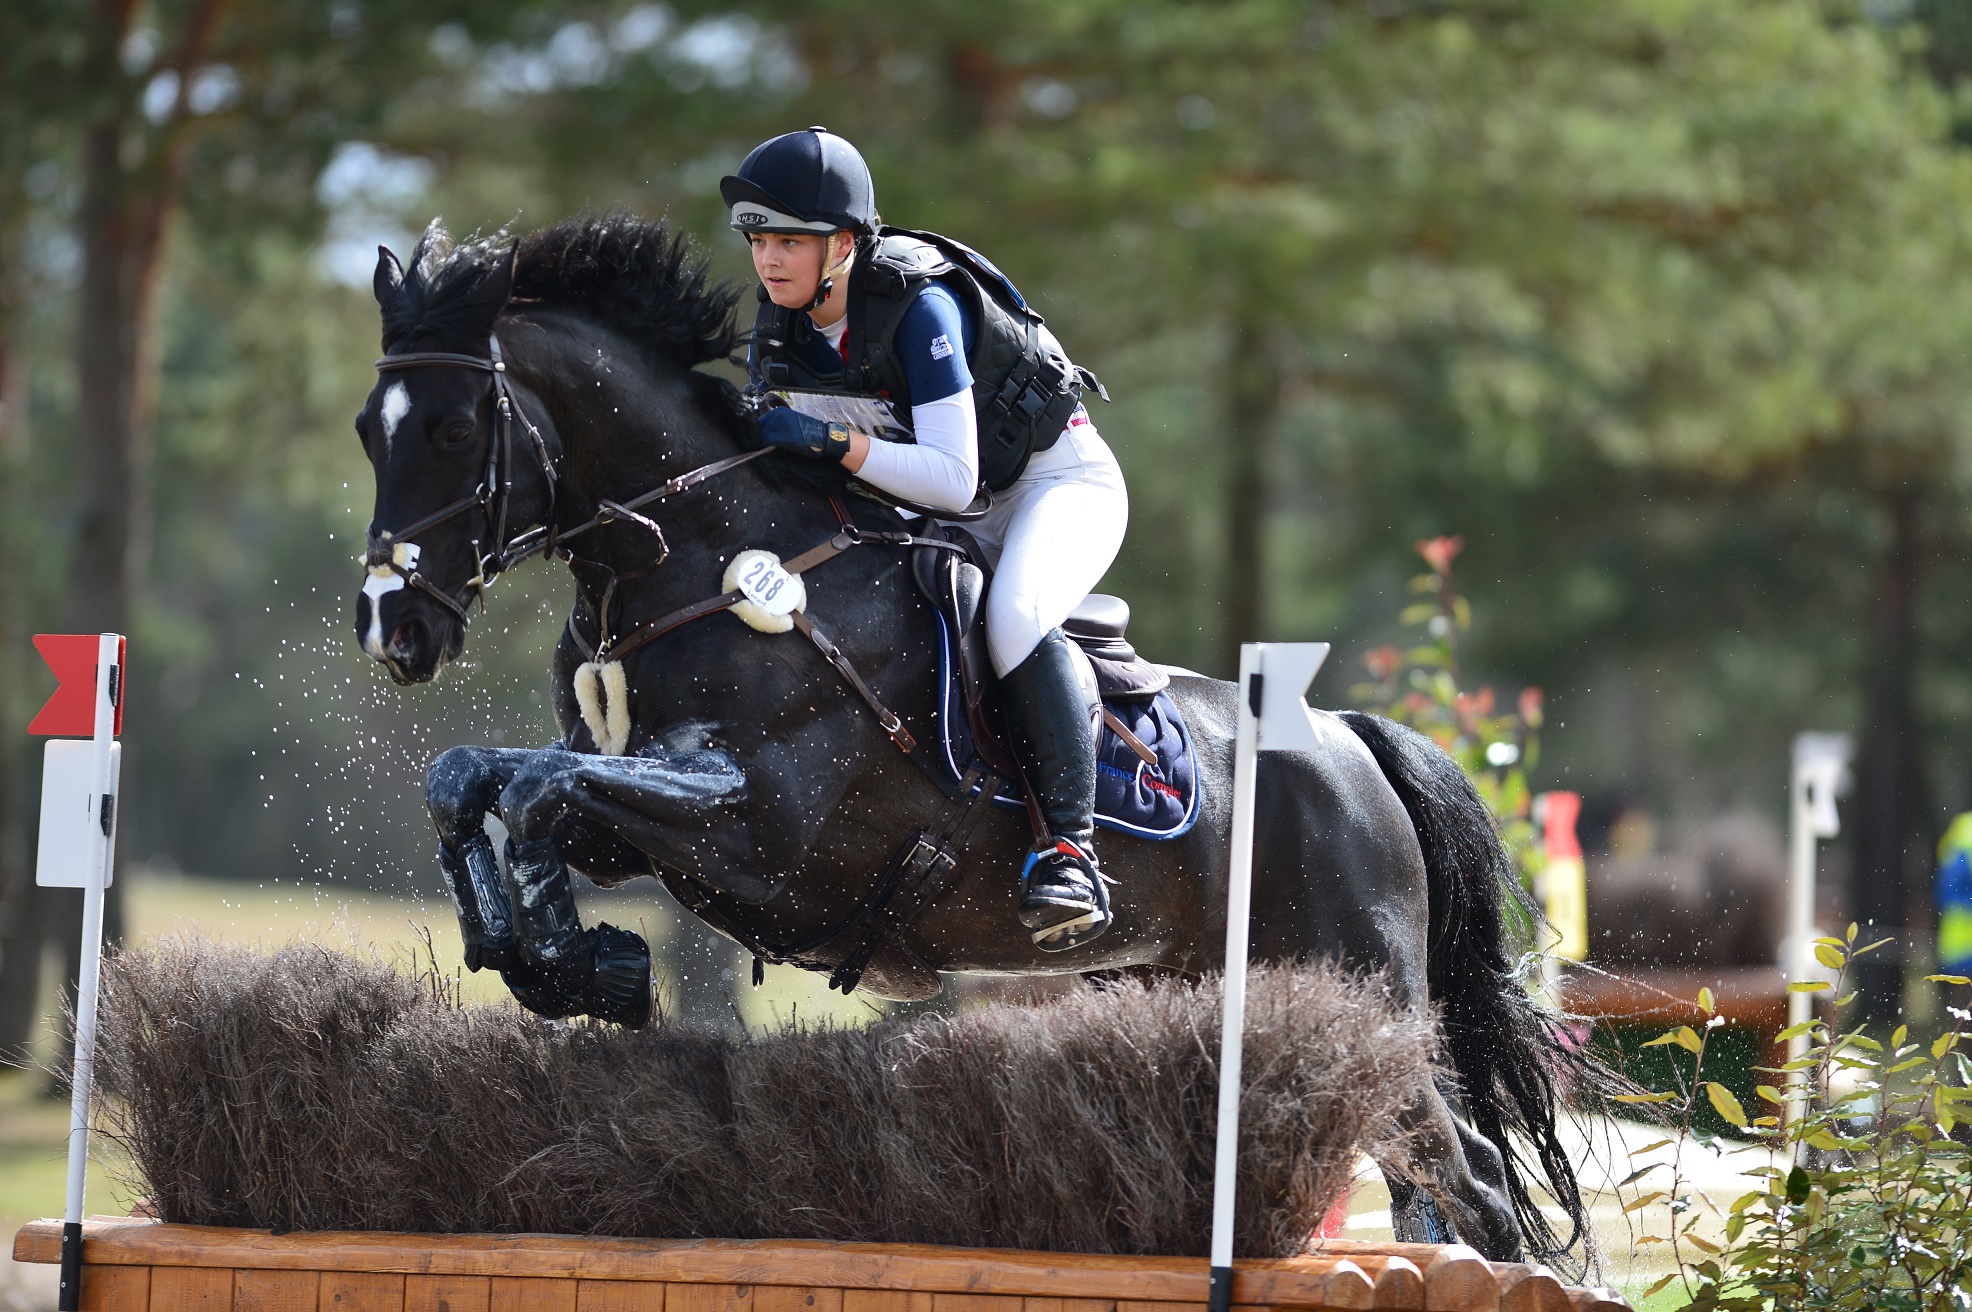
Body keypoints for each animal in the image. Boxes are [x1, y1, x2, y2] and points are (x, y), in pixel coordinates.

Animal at [351, 217, 1585, 1270]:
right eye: (371, 431)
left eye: (455, 428)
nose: (390, 630)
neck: (700, 562)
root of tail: (1353, 746)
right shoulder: (638, 822)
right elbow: (480, 781)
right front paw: (549, 958)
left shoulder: (765, 834)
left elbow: (541, 792)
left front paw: (576, 961)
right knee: (1429, 1174)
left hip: (1368, 992)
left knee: (1472, 1176)